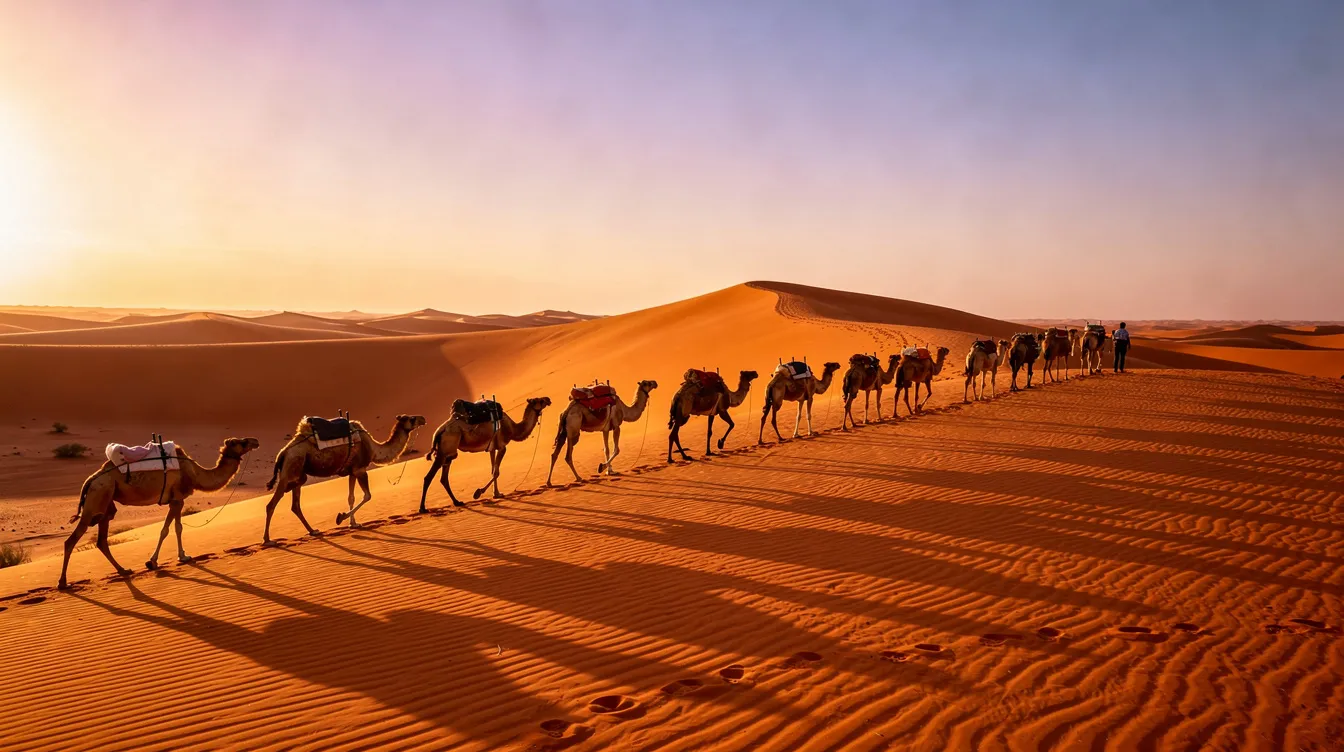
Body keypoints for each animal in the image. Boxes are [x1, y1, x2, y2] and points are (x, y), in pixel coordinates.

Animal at [59, 437, 261, 589]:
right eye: (241, 442)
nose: (256, 441)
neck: (194, 474)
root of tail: (91, 479)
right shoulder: (177, 498)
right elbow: (169, 529)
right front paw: (157, 561)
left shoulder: (176, 499)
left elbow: (176, 527)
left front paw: (178, 557)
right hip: (97, 498)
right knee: (71, 540)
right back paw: (63, 583)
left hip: (106, 503)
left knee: (101, 541)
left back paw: (123, 570)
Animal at [263, 414, 425, 544]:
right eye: (411, 418)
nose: (423, 418)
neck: (374, 449)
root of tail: (282, 453)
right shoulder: (360, 469)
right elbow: (367, 495)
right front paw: (341, 517)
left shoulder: (352, 471)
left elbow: (351, 497)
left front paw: (353, 524)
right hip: (290, 470)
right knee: (271, 505)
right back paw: (268, 540)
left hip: (298, 475)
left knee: (295, 505)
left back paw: (313, 531)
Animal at [420, 397, 551, 511]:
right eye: (539, 400)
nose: (548, 399)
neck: (512, 429)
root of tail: (439, 431)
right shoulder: (502, 447)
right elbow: (496, 472)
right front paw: (478, 492)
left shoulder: (492, 448)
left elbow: (493, 470)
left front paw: (496, 494)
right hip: (446, 449)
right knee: (428, 477)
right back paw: (423, 508)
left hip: (448, 453)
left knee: (443, 478)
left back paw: (457, 502)